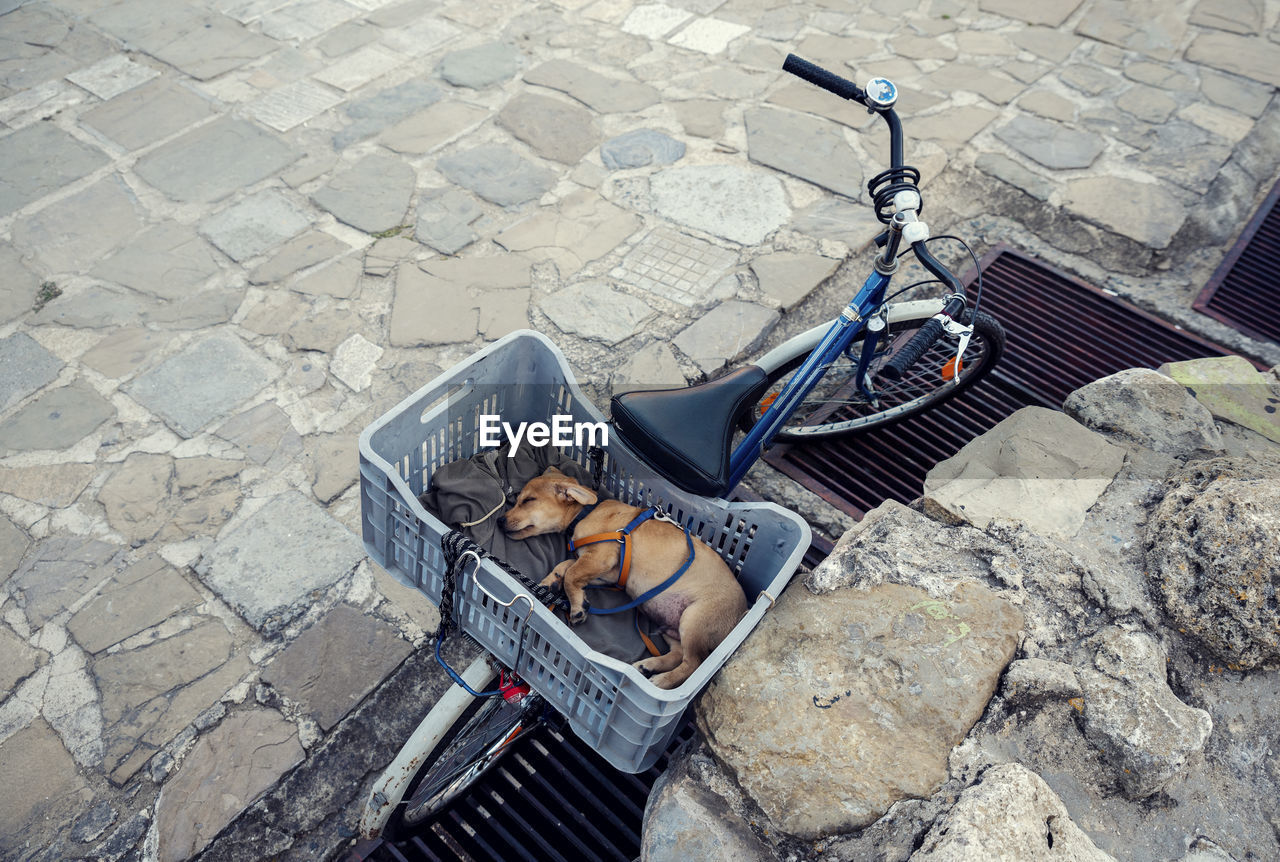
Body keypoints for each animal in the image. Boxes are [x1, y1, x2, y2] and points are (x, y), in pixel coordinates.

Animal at [494, 466, 747, 691]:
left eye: (528, 500)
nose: (500, 521)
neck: (587, 512)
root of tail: (743, 613)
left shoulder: (602, 558)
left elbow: (572, 574)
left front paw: (576, 608)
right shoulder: (604, 573)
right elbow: (566, 567)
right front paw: (551, 583)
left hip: (694, 621)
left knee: (692, 664)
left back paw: (662, 681)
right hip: (670, 625)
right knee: (678, 655)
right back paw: (648, 666)